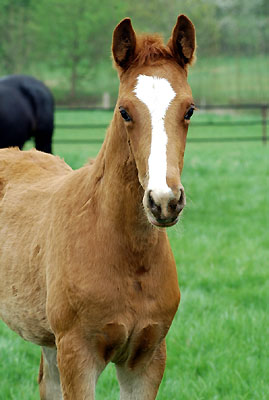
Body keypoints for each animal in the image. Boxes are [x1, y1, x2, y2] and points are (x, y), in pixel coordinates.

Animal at [0, 15, 196, 400]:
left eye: (190, 110)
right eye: (124, 111)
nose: (164, 201)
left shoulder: (147, 358)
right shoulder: (79, 355)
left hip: (50, 340)